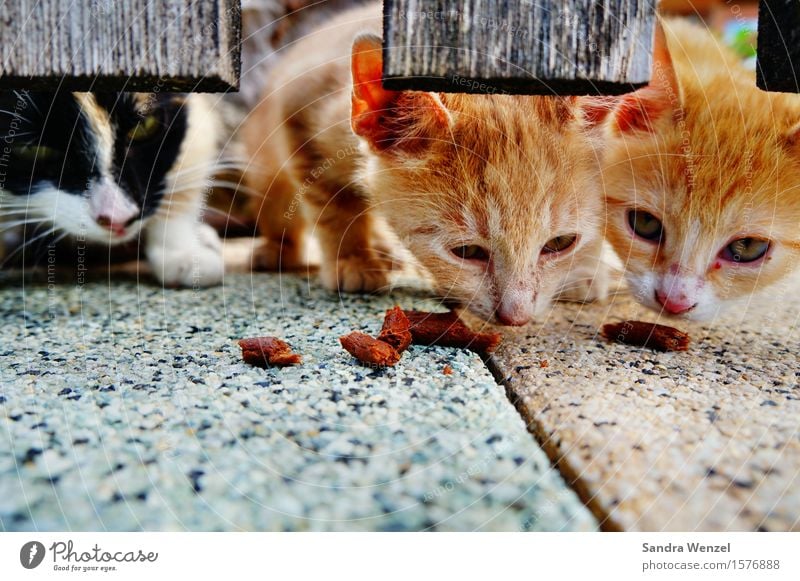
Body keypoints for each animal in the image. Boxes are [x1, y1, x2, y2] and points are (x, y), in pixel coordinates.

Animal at [244, 2, 608, 324]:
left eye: (559, 243)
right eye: (466, 251)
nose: (517, 318)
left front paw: (584, 272)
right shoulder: (298, 108)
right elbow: (334, 205)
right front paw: (353, 259)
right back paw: (278, 249)